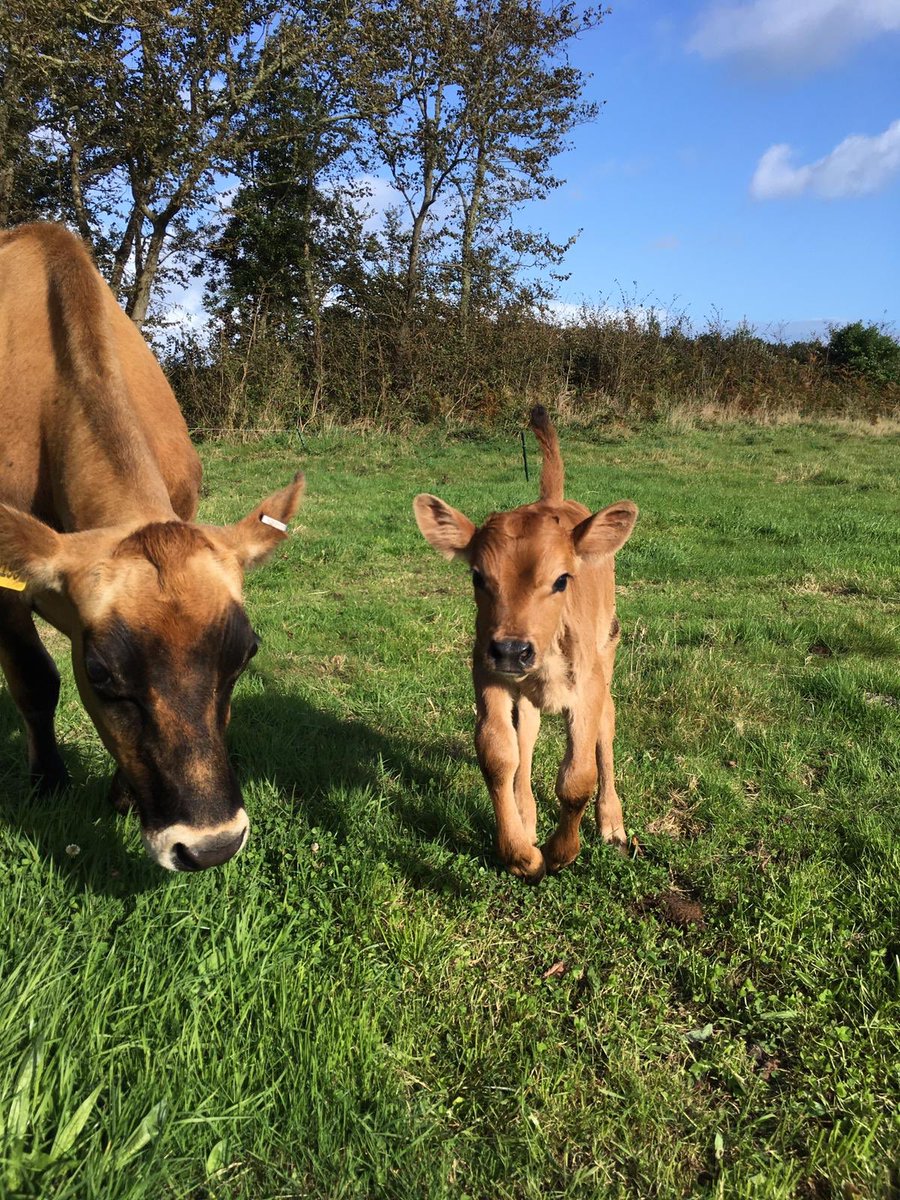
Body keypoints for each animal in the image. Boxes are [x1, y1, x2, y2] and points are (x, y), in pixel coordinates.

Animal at [0, 222, 303, 870]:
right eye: (100, 671)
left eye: (247, 652)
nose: (212, 845)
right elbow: (34, 679)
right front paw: (48, 782)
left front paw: (120, 794)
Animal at [413, 406, 637, 883]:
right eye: (478, 576)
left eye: (562, 579)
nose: (513, 651)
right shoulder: (487, 674)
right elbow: (500, 755)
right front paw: (522, 854)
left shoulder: (587, 688)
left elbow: (578, 776)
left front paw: (561, 853)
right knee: (527, 736)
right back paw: (527, 815)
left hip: (607, 650)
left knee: (606, 730)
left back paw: (612, 823)